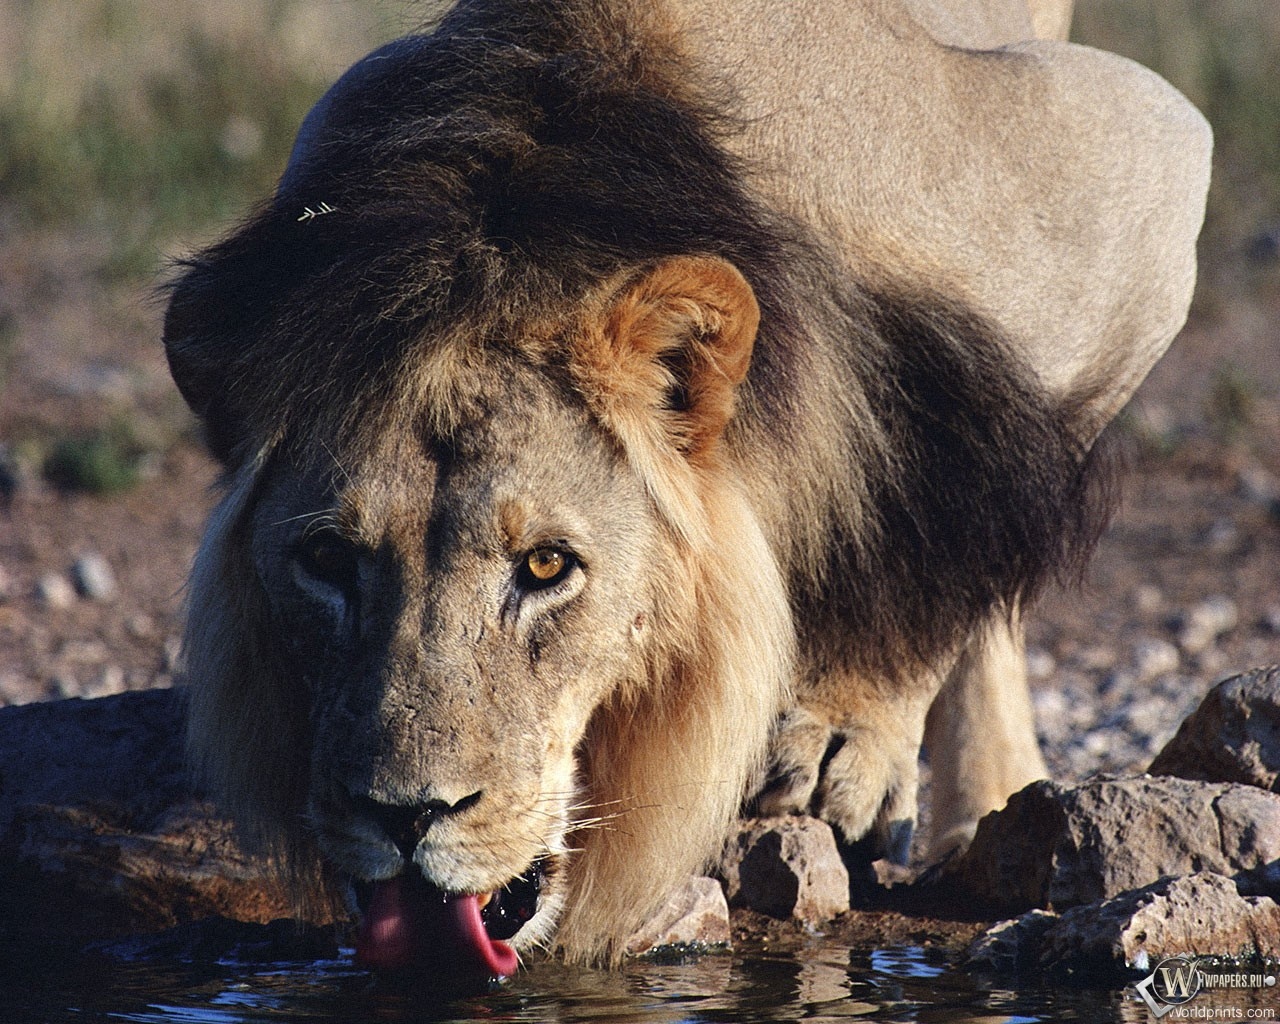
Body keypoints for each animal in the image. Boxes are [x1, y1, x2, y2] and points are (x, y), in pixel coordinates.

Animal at [162, 0, 1208, 977]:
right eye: (326, 561)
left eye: (547, 566)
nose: (405, 816)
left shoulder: (1141, 154)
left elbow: (959, 529)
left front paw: (843, 734)